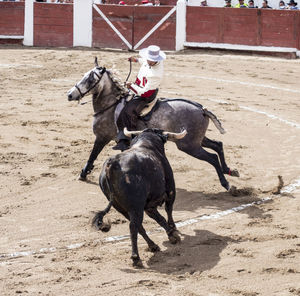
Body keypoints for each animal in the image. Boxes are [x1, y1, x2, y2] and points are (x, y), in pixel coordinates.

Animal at [67, 59, 239, 191]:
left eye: (90, 79)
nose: (70, 95)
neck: (110, 105)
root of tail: (202, 109)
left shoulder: (102, 137)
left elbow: (93, 155)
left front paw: (83, 174)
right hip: (197, 140)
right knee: (217, 145)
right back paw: (230, 170)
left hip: (189, 146)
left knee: (212, 157)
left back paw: (226, 184)